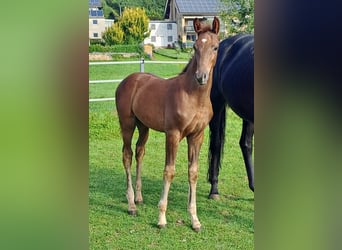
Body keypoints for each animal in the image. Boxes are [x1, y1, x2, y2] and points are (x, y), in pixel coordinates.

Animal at [116, 18, 220, 232]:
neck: (194, 96)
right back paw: (131, 205)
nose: (201, 76)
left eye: (215, 47)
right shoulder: (173, 134)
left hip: (144, 126)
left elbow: (193, 172)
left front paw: (195, 220)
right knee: (127, 155)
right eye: (195, 47)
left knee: (140, 152)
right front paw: (161, 218)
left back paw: (139, 197)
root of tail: (127, 80)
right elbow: (169, 171)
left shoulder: (197, 136)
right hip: (127, 124)